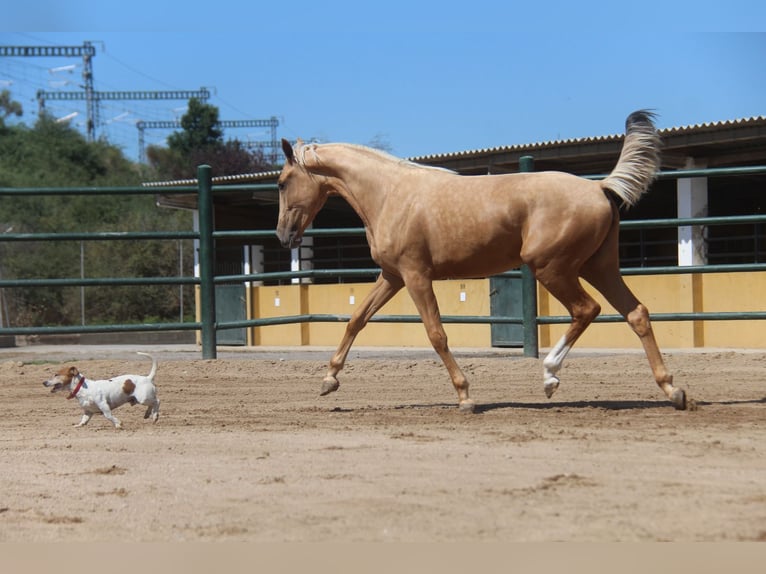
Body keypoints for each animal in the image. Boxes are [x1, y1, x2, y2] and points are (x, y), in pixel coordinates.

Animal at [278, 111, 688, 414]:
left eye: (281, 182)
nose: (284, 235)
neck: (390, 194)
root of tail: (599, 187)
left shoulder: (415, 275)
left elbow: (436, 334)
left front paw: (465, 396)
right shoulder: (392, 276)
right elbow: (356, 319)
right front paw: (329, 380)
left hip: (552, 268)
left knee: (586, 309)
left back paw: (550, 376)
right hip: (598, 267)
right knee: (636, 314)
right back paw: (672, 391)